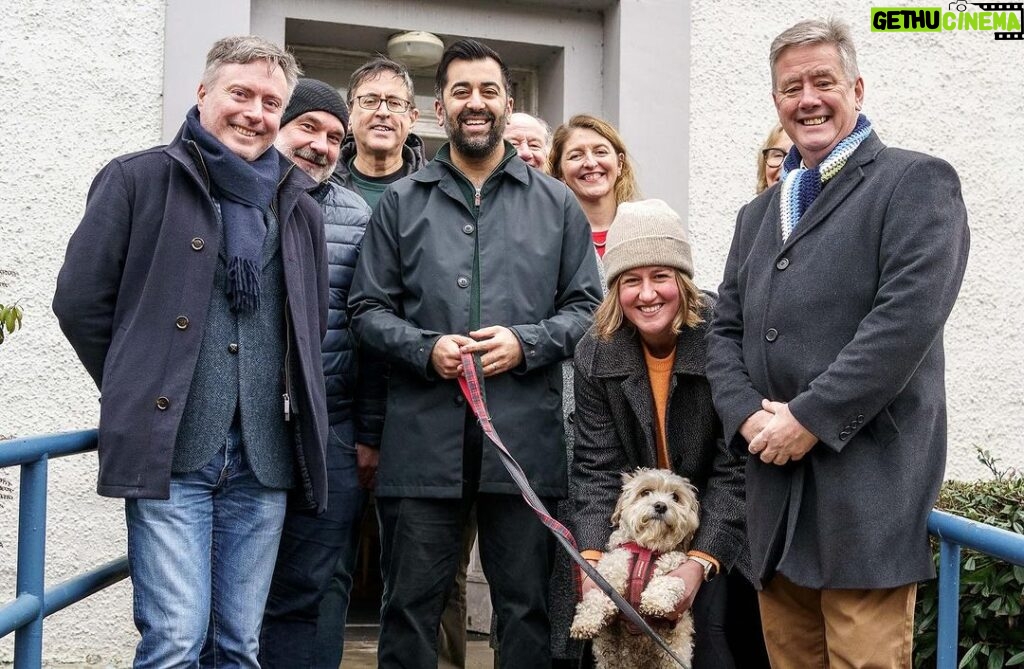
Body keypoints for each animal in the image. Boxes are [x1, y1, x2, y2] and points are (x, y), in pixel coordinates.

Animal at [569, 467, 704, 667]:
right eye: (645, 492)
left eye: (675, 497)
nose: (660, 506)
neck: (646, 550)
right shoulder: (609, 577)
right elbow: (595, 598)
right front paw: (585, 622)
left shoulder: (678, 568)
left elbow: (669, 582)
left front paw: (655, 601)